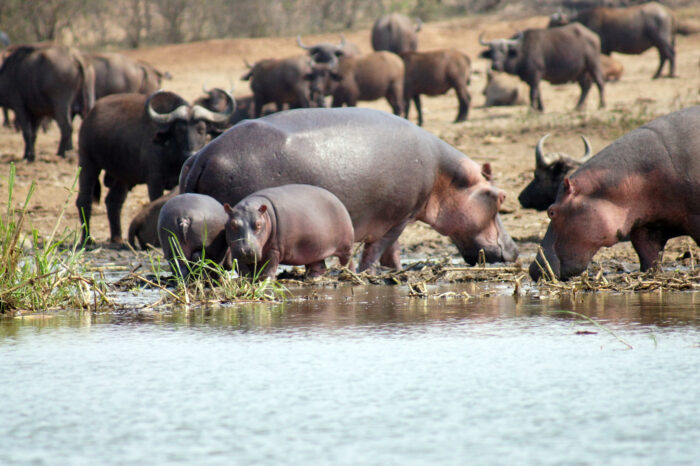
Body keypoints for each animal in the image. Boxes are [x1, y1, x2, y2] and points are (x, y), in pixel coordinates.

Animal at [77, 89, 232, 246]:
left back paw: (117, 238)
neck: (173, 154)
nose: (191, 153)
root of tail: (90, 115)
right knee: (84, 199)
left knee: (113, 202)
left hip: (121, 177)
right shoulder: (154, 181)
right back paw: (86, 240)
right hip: (88, 163)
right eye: (179, 130)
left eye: (201, 129)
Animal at [180, 107, 520, 272]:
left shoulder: (395, 217)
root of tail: (201, 156)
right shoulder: (400, 217)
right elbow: (378, 250)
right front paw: (370, 272)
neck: (446, 176)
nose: (515, 250)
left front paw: (394, 271)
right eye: (499, 197)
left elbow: (392, 253)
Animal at [548, 2, 676, 78]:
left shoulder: (603, 49)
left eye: (553, 24)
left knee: (669, 54)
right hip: (659, 43)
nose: (547, 31)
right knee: (664, 56)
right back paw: (657, 74)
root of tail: (667, 12)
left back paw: (670, 74)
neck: (586, 20)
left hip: (661, 41)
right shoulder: (607, 50)